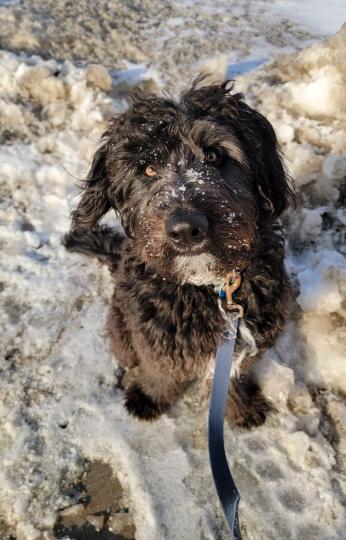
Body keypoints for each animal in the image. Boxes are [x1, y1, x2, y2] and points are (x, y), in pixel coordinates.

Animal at [63, 78, 294, 428]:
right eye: (146, 169)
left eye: (213, 155)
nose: (187, 229)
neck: (209, 288)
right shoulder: (155, 342)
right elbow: (161, 375)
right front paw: (149, 398)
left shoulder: (245, 344)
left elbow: (232, 377)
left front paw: (240, 409)